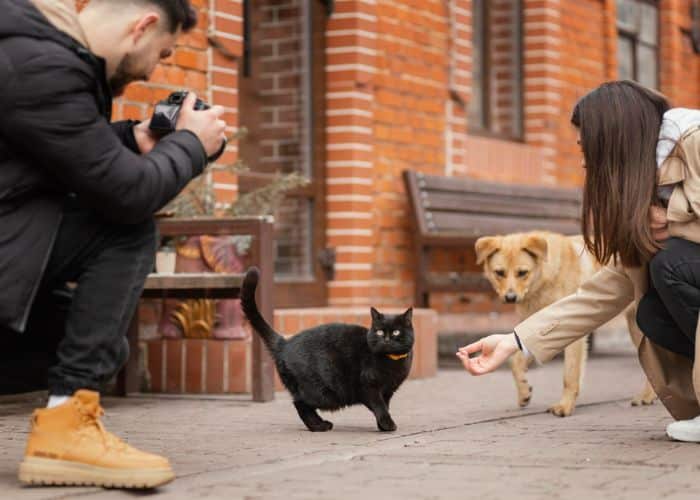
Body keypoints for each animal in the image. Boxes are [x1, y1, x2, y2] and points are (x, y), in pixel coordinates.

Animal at [242, 268, 416, 432]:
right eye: (380, 332)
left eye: (396, 332)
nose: (386, 339)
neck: (392, 361)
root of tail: (285, 343)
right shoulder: (368, 386)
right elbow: (379, 406)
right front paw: (387, 424)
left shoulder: (388, 391)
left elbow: (385, 406)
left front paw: (382, 425)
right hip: (323, 393)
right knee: (300, 403)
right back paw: (319, 425)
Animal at [476, 232, 656, 416]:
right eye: (499, 272)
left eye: (522, 272)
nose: (510, 298)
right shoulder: (541, 331)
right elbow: (516, 361)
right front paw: (524, 391)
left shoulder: (574, 334)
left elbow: (570, 374)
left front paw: (565, 405)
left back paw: (648, 396)